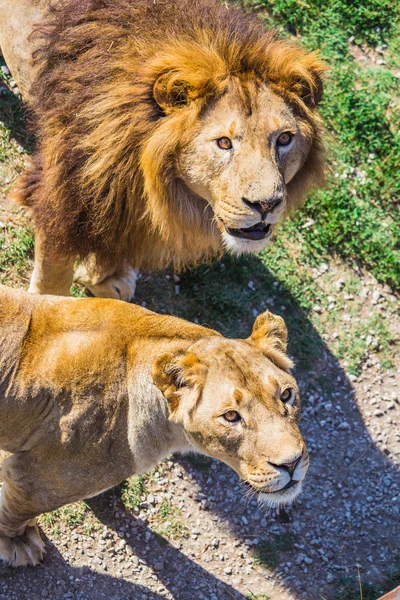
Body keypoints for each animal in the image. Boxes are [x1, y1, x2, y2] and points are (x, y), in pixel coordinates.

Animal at [0, 0, 324, 300]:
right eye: (224, 142)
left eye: (284, 139)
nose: (266, 205)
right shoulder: (61, 199)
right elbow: (53, 281)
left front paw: (102, 280)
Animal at [0, 286, 310, 568]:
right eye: (231, 417)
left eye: (286, 395)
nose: (292, 463)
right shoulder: (36, 478)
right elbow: (15, 512)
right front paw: (17, 542)